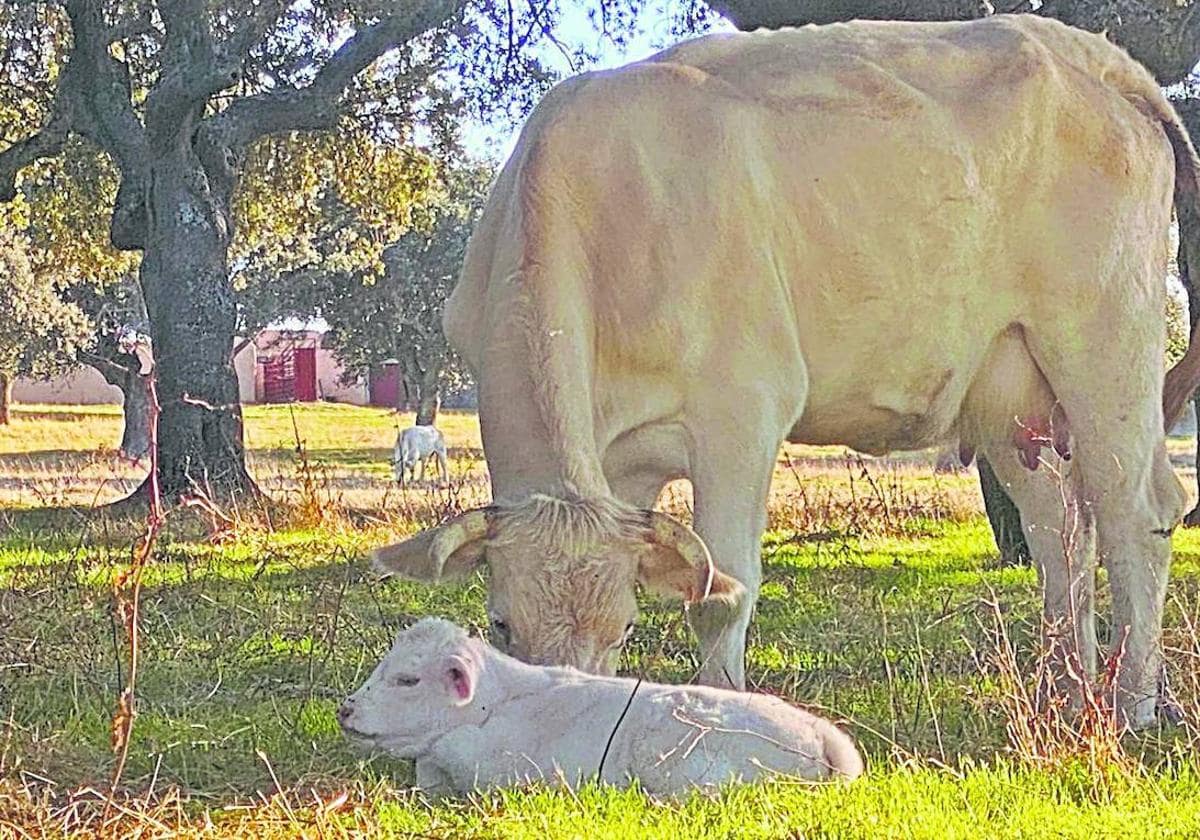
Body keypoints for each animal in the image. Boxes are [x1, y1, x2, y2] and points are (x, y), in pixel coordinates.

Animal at [369, 16, 1200, 729]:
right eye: (500, 623)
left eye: (626, 625)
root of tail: (1094, 54)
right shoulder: (618, 468)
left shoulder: (741, 409)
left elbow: (722, 592)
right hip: (1007, 383)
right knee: (1060, 525)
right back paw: (1065, 690)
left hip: (1105, 340)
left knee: (1136, 510)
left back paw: (1132, 705)